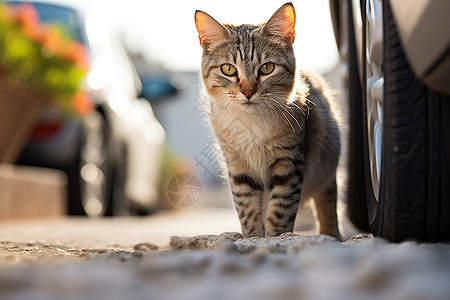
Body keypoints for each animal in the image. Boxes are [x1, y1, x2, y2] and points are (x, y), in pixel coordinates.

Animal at [194, 2, 342, 240]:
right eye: (228, 69)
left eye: (266, 68)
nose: (247, 92)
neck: (251, 123)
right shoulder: (238, 166)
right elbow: (247, 209)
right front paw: (253, 237)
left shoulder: (287, 164)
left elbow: (280, 211)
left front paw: (275, 238)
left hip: (327, 164)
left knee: (327, 202)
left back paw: (330, 235)